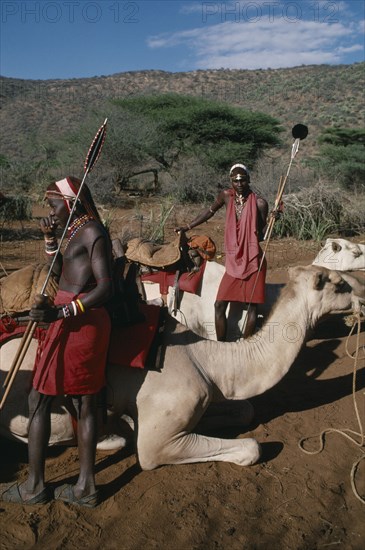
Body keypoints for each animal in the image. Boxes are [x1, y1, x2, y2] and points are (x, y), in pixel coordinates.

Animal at [0, 268, 356, 470]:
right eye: (340, 284)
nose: (360, 297)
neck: (208, 360)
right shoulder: (158, 440)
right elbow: (251, 447)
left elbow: (246, 410)